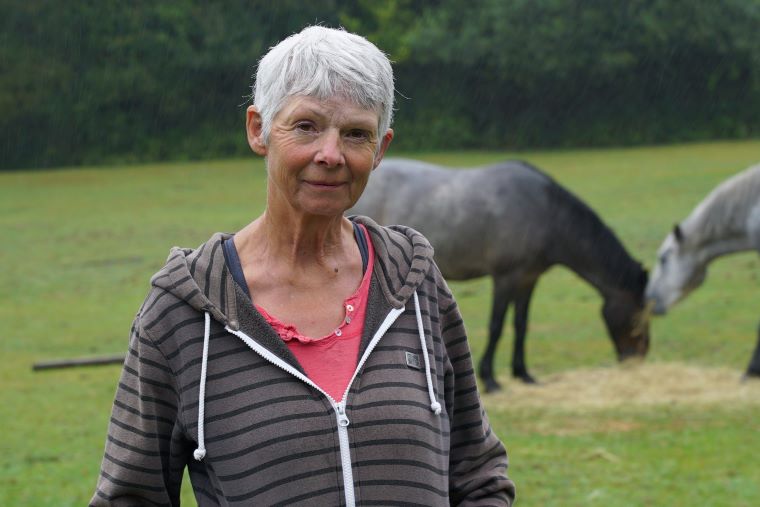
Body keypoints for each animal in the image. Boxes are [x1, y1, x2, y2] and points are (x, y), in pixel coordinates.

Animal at [349, 158, 650, 391]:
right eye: (638, 316)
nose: (638, 358)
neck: (546, 212)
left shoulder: (528, 279)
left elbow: (520, 325)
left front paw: (523, 373)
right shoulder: (505, 278)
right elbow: (496, 325)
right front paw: (490, 379)